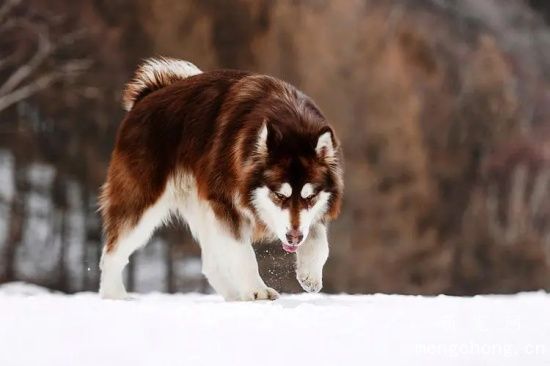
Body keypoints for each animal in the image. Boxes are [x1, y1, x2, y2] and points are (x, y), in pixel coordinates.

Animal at [97, 57, 342, 300]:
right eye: (279, 195)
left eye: (310, 197)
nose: (294, 238)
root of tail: (148, 94)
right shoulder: (226, 204)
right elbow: (244, 254)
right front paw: (257, 290)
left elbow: (320, 240)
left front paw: (310, 274)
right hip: (142, 203)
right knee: (112, 253)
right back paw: (114, 295)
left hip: (202, 209)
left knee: (211, 265)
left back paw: (234, 296)